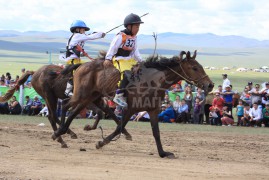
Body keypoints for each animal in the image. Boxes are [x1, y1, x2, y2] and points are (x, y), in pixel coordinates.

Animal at [52, 50, 214, 158]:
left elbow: (156, 132)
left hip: (90, 97)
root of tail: (82, 65)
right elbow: (119, 127)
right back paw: (59, 133)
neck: (152, 81)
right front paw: (101, 143)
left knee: (73, 112)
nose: (210, 85)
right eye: (194, 68)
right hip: (82, 95)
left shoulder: (153, 110)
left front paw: (162, 153)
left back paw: (63, 132)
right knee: (65, 105)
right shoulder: (130, 109)